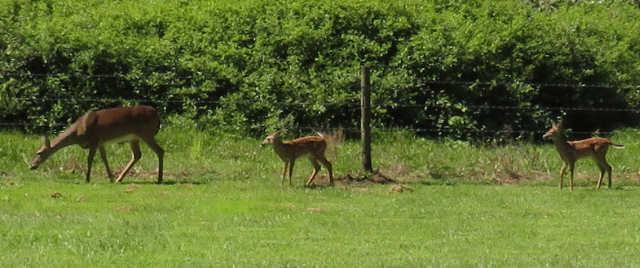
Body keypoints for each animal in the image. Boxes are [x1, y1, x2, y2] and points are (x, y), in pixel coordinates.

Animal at [31, 105, 164, 183]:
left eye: (39, 152)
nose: (31, 165)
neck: (78, 131)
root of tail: (158, 115)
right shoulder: (101, 142)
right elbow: (104, 158)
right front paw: (110, 178)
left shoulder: (94, 141)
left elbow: (90, 159)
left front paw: (87, 179)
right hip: (134, 138)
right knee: (137, 155)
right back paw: (119, 179)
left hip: (146, 133)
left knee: (160, 150)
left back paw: (159, 178)